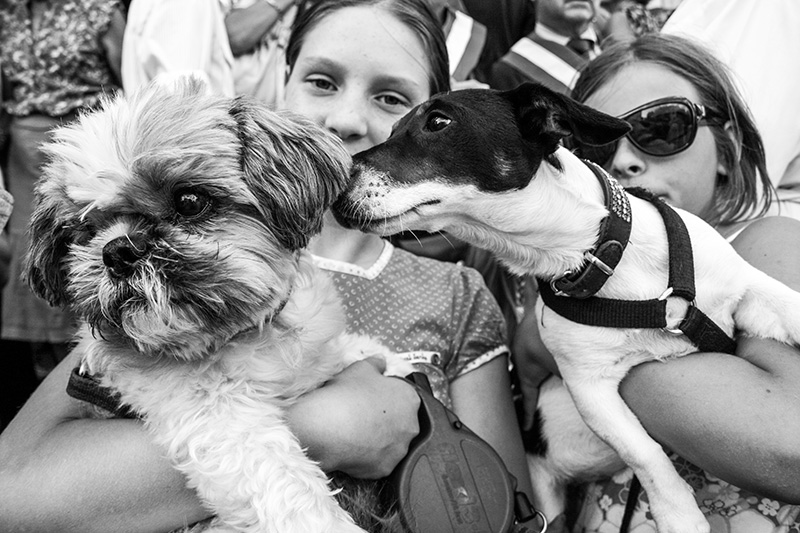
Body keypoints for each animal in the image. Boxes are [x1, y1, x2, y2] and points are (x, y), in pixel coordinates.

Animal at [25, 80, 412, 532]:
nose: (118, 250)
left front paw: (396, 362)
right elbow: (286, 484)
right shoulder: (216, 415)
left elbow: (349, 351)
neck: (243, 336)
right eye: (86, 231)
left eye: (190, 201)